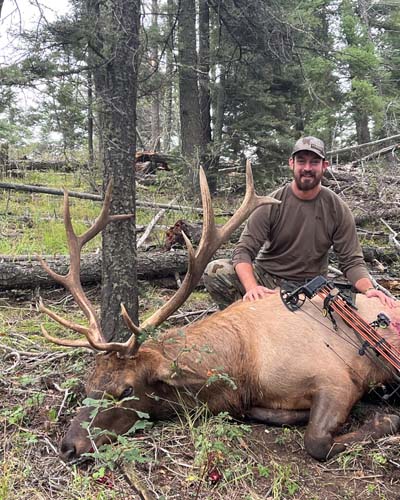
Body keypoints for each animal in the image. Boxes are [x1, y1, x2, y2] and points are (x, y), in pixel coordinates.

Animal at [38, 166, 400, 462]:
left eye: (126, 390)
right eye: (89, 384)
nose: (68, 447)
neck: (245, 365)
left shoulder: (336, 378)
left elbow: (316, 442)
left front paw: (386, 418)